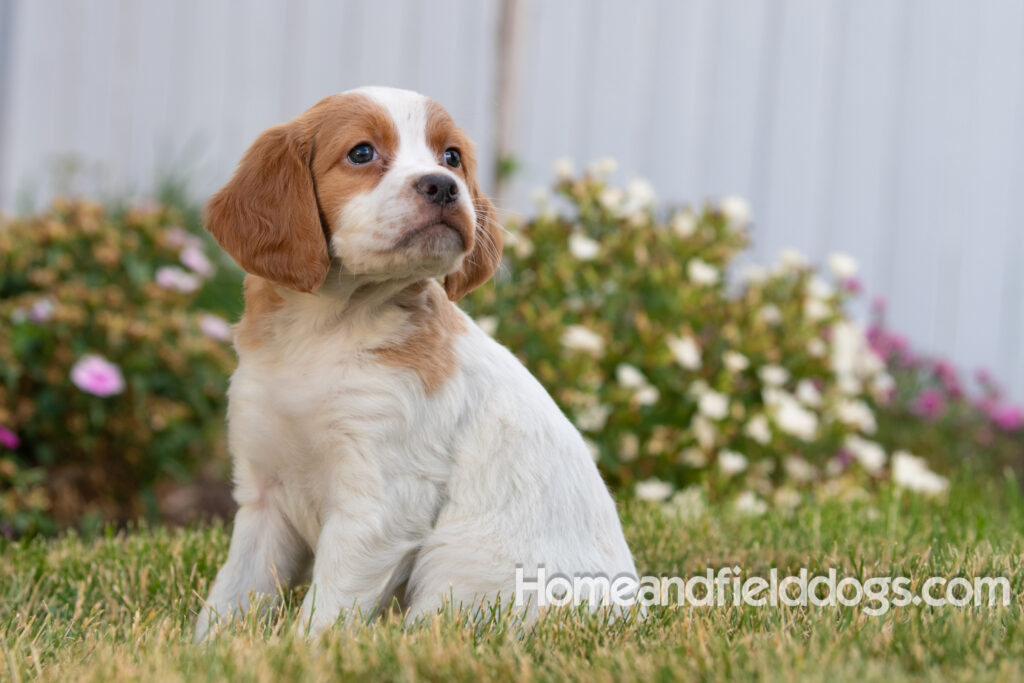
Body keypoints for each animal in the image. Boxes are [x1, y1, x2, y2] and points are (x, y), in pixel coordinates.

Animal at [195, 87, 634, 643]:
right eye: (361, 153)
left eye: (452, 157)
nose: (443, 186)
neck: (323, 333)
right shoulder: (263, 492)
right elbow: (235, 589)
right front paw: (205, 649)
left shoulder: (380, 500)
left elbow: (327, 608)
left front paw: (302, 652)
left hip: (452, 573)